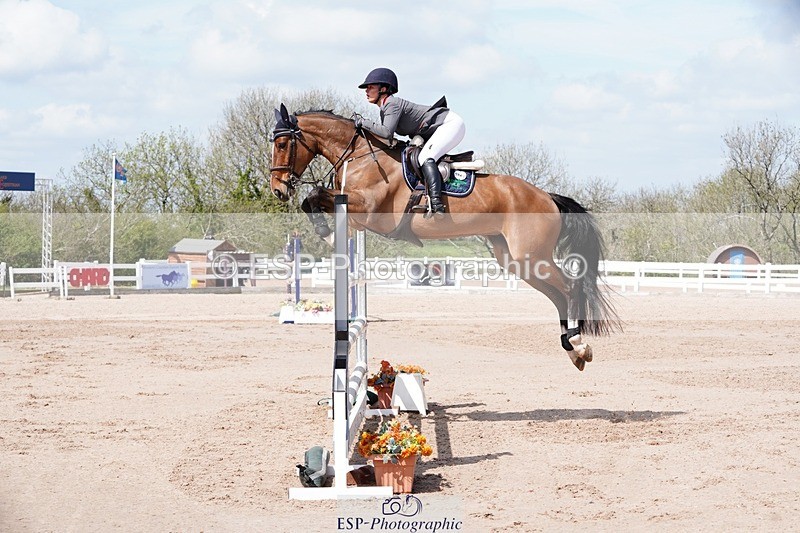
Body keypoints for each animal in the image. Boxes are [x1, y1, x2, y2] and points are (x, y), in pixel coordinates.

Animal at [269, 105, 619, 370]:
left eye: (283, 145)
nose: (278, 189)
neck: (361, 155)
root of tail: (548, 197)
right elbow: (312, 199)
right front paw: (327, 233)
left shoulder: (370, 213)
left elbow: (314, 196)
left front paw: (327, 234)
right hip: (517, 260)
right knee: (558, 295)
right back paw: (572, 348)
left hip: (532, 255)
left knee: (570, 288)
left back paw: (579, 343)